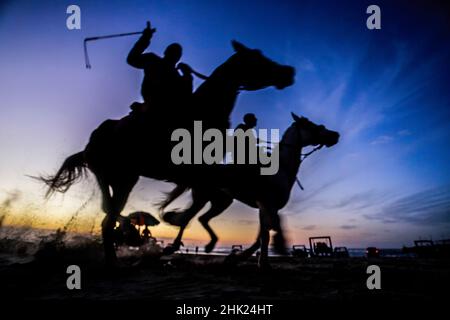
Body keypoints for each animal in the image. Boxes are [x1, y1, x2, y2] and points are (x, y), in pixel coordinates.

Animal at [40, 40, 296, 264]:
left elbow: (201, 205)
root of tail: (89, 145)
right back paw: (114, 258)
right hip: (123, 178)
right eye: (257, 58)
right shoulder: (199, 174)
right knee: (108, 219)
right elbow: (198, 206)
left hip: (114, 179)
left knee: (108, 213)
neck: (204, 111)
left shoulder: (201, 176)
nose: (289, 71)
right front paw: (174, 223)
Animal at [160, 114, 340, 268]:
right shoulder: (267, 205)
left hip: (222, 202)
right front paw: (265, 258)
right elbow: (268, 233)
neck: (281, 168)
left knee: (201, 219)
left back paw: (210, 244)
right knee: (186, 219)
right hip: (202, 197)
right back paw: (173, 246)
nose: (335, 135)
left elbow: (262, 235)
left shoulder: (267, 208)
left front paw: (239, 258)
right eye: (312, 126)